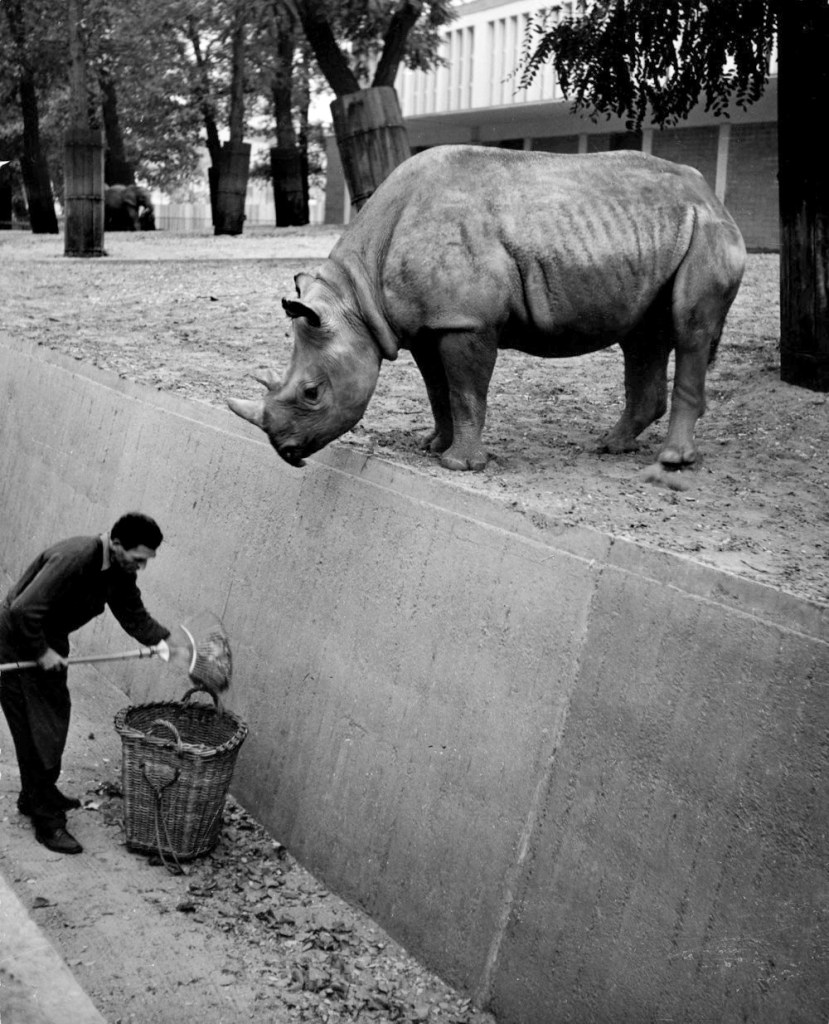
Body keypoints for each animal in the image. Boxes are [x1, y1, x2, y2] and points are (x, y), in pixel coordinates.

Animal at [229, 145, 746, 472]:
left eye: (312, 393)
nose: (286, 452)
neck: (355, 298)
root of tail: (712, 195)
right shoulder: (428, 325)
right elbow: (437, 389)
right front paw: (432, 445)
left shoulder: (466, 321)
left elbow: (464, 391)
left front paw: (460, 465)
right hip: (655, 233)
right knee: (642, 336)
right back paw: (609, 446)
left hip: (707, 229)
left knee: (689, 329)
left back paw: (672, 461)